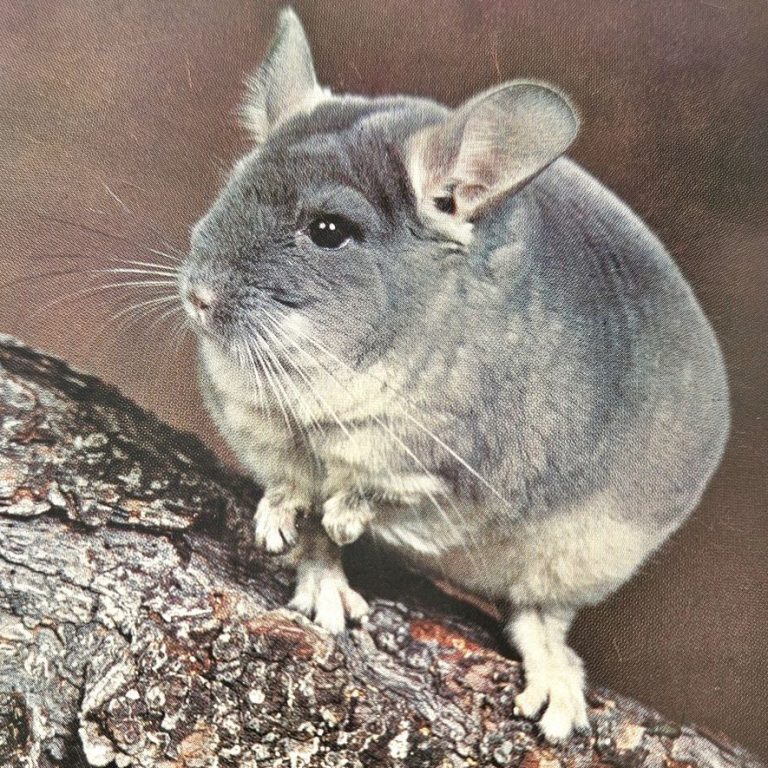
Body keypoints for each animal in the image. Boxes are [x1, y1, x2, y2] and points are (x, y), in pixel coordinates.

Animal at [178, 8, 730, 743]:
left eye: (328, 229)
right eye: (232, 188)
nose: (198, 296)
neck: (331, 377)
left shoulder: (460, 468)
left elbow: (389, 493)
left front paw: (348, 512)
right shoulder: (261, 428)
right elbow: (298, 491)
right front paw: (280, 519)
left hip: (585, 554)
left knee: (538, 615)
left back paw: (557, 699)